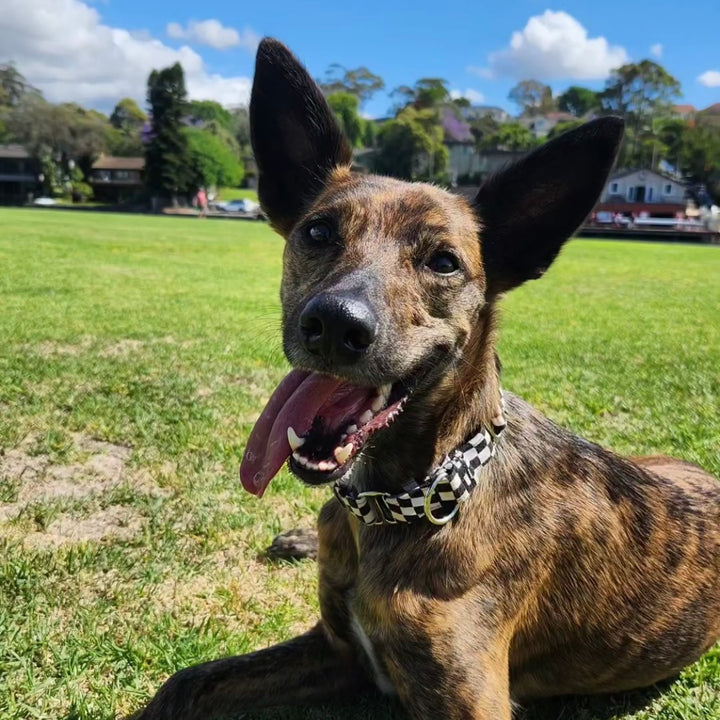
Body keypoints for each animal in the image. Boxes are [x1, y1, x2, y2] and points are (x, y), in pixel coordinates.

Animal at [136, 38, 720, 720]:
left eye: (444, 261)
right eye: (318, 231)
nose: (335, 324)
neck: (421, 495)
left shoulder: (464, 697)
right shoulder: (337, 648)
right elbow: (187, 682)